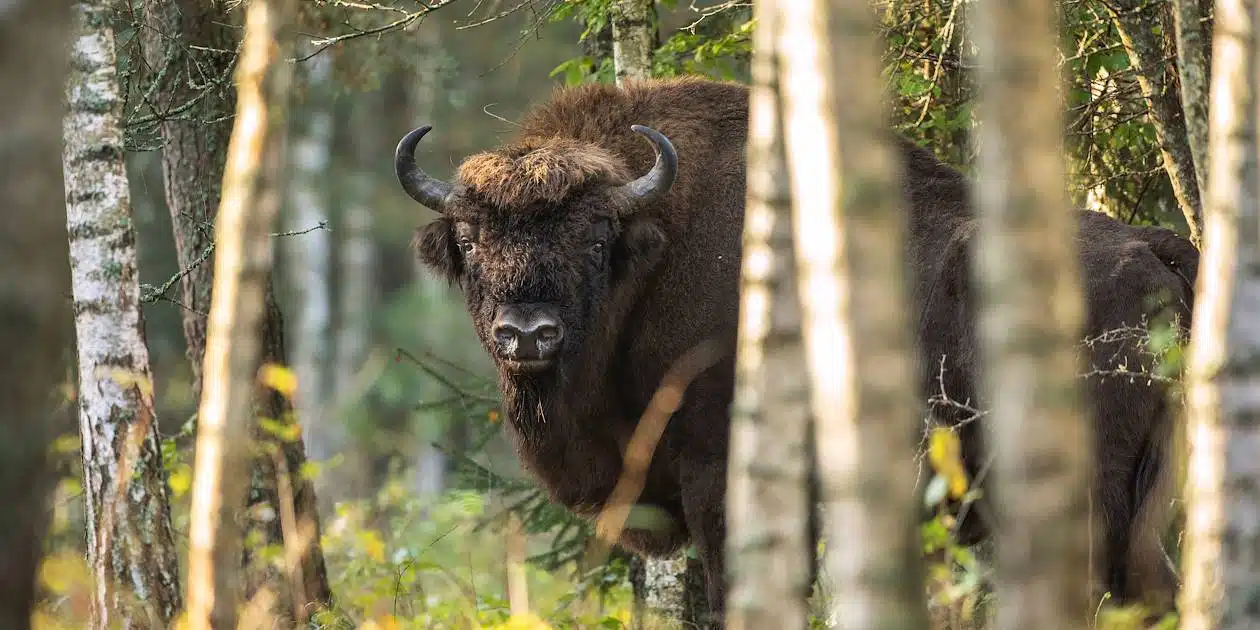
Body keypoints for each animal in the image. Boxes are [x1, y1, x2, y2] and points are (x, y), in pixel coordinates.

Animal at [398, 76, 1194, 617]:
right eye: (470, 239)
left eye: (595, 237)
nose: (528, 333)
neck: (654, 250)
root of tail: (1156, 249)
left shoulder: (720, 475)